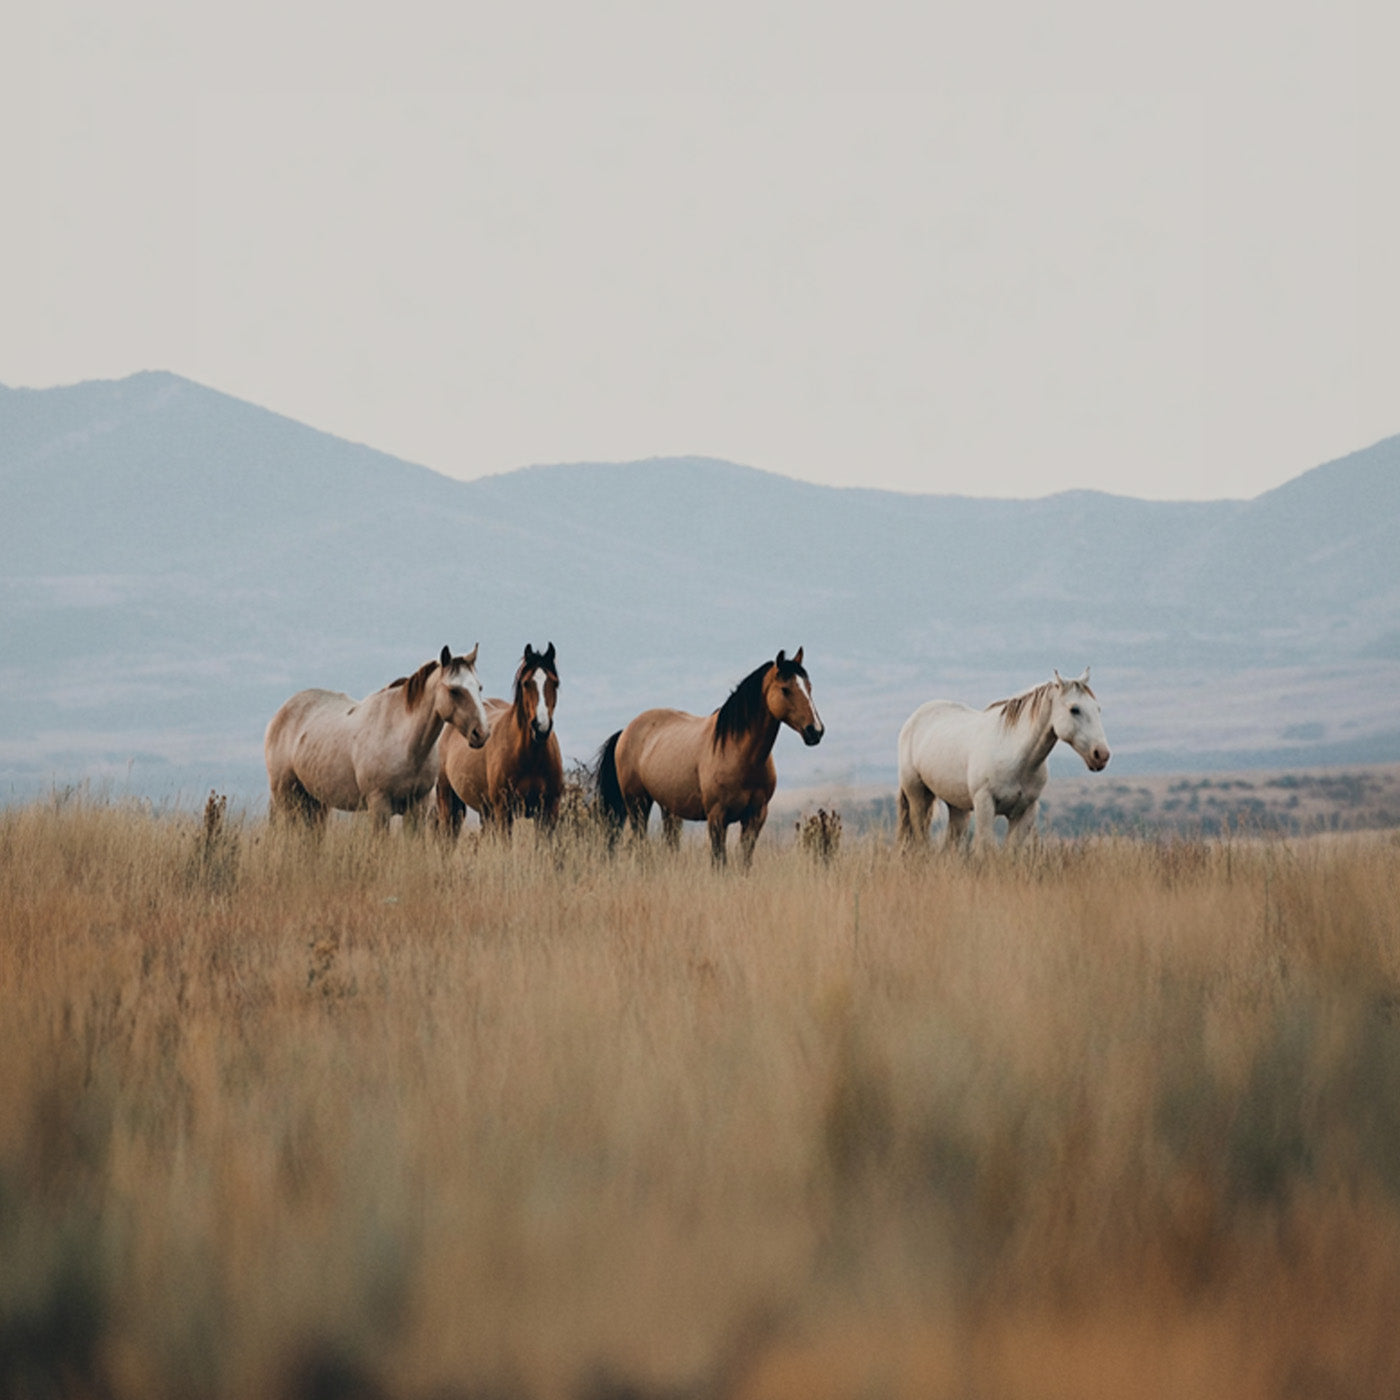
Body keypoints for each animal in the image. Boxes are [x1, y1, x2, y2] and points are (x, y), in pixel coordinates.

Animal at [265, 645, 490, 829]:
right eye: (454, 690)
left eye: (479, 687)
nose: (481, 733)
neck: (404, 743)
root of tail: (280, 714)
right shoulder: (379, 806)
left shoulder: (417, 808)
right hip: (286, 796)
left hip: (315, 802)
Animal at [436, 642, 563, 836]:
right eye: (526, 683)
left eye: (555, 683)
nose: (541, 727)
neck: (530, 757)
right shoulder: (504, 811)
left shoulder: (548, 812)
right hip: (449, 803)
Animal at [597, 648, 824, 867]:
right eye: (785, 689)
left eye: (809, 687)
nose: (815, 731)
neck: (738, 753)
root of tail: (626, 731)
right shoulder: (717, 818)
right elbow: (719, 862)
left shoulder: (755, 817)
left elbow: (745, 862)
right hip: (637, 804)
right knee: (640, 843)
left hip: (668, 808)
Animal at [896, 668, 1109, 851]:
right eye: (1075, 709)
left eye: (1098, 709)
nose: (1101, 755)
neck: (1016, 757)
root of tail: (915, 718)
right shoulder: (984, 804)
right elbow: (986, 847)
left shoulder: (1026, 811)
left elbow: (1011, 850)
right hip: (918, 795)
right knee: (921, 836)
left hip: (957, 806)